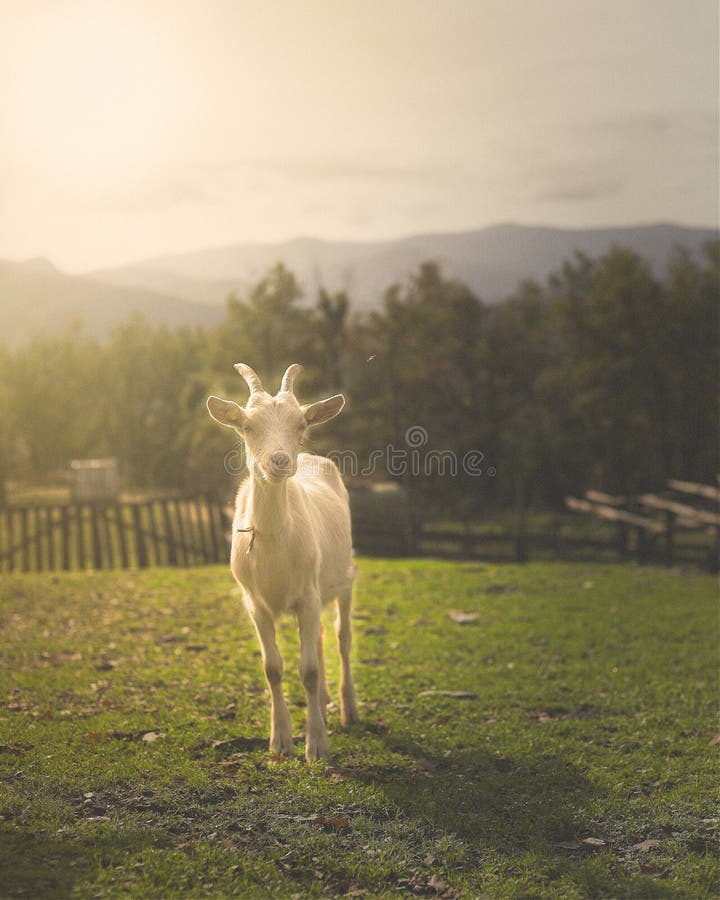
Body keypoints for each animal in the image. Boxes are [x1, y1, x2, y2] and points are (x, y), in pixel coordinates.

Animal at [207, 362, 358, 764]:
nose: (279, 461)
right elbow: (272, 668)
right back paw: (325, 704)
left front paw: (316, 746)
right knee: (320, 637)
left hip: (344, 578)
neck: (275, 545)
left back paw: (348, 709)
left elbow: (308, 670)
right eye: (247, 425)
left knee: (341, 637)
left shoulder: (308, 594)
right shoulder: (254, 602)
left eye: (301, 423)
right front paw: (280, 742)